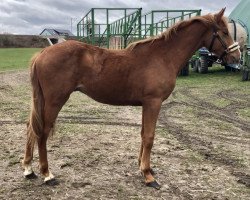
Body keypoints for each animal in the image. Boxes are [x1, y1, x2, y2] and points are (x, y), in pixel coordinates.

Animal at [22, 8, 239, 189]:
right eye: (224, 32)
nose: (236, 57)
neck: (162, 56)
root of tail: (42, 53)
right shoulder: (153, 102)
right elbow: (149, 137)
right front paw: (148, 176)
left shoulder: (146, 104)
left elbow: (143, 135)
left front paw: (143, 167)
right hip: (54, 101)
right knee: (42, 132)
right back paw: (47, 174)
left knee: (31, 127)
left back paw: (28, 169)